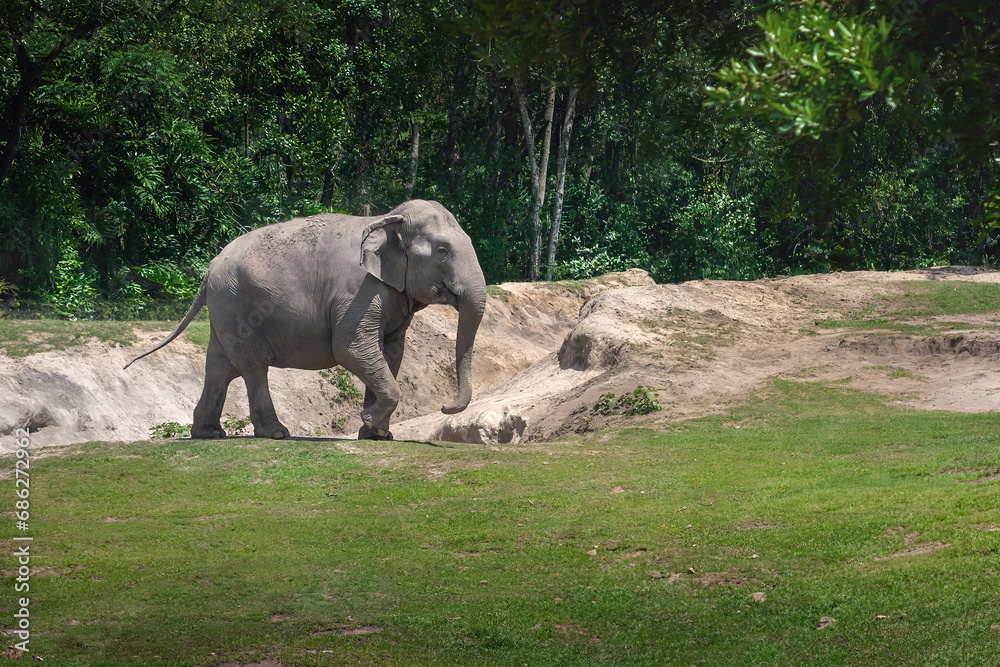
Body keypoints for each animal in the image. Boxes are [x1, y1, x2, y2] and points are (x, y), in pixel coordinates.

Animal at [125, 199, 487, 441]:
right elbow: (350, 347)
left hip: (223, 309)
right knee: (252, 367)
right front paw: (372, 424)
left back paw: (209, 434)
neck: (388, 218)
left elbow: (391, 352)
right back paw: (276, 434)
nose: (445, 406)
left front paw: (376, 434)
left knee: (219, 368)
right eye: (442, 250)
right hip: (234, 304)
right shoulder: (358, 291)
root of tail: (210, 268)